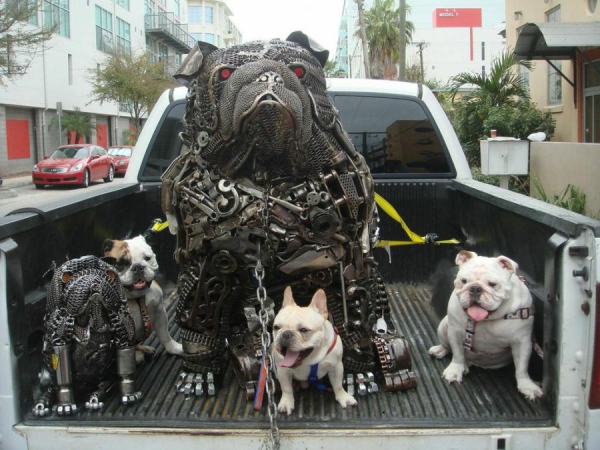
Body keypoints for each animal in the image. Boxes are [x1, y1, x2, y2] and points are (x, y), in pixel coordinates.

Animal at [271, 286, 357, 415]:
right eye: (276, 327)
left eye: (303, 330)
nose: (286, 334)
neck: (309, 359)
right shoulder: (283, 371)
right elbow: (286, 388)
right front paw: (287, 402)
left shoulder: (336, 366)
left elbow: (337, 385)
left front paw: (343, 397)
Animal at [428, 250, 543, 401]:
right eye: (464, 281)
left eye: (492, 284)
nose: (475, 288)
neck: (489, 318)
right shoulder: (454, 333)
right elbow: (457, 354)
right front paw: (454, 370)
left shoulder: (522, 342)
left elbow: (522, 367)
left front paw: (527, 385)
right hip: (444, 326)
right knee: (449, 347)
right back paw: (441, 350)